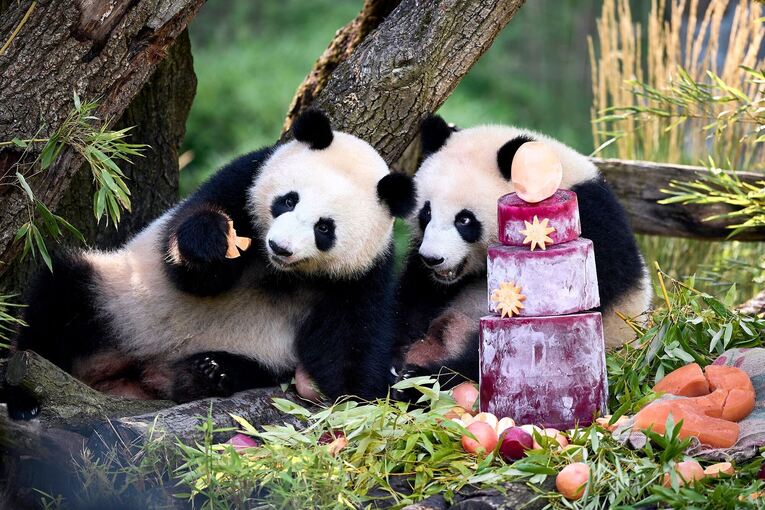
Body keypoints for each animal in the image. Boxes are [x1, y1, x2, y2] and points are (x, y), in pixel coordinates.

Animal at [10, 110, 416, 406]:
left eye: (324, 228)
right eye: (288, 200)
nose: (280, 247)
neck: (280, 273)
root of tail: (132, 375)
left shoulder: (359, 275)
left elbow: (351, 342)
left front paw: (359, 397)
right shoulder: (243, 181)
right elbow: (193, 271)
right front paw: (210, 242)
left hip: (254, 355)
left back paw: (208, 374)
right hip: (117, 297)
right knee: (62, 294)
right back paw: (23, 391)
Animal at [393, 115, 651, 389]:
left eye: (464, 219)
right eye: (426, 212)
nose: (433, 259)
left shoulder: (591, 228)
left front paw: (428, 375)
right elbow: (413, 299)